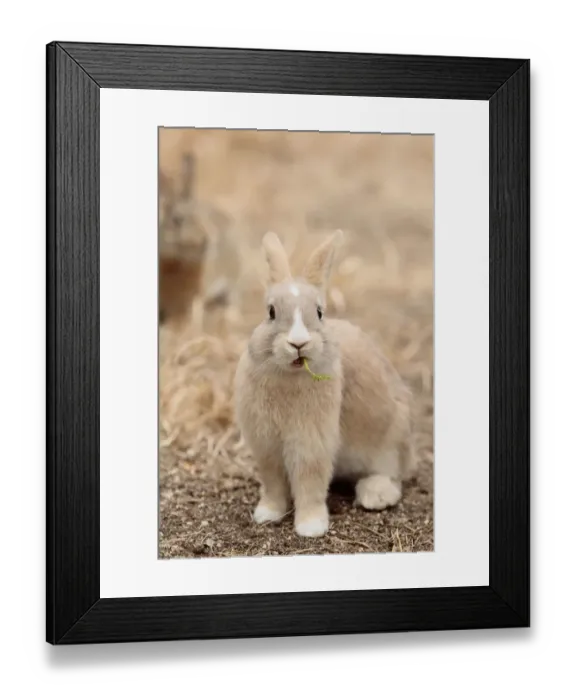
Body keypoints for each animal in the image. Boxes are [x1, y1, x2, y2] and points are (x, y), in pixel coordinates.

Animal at [234, 230, 417, 538]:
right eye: (270, 312)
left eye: (319, 312)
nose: (298, 343)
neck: (289, 375)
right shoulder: (266, 444)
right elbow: (273, 483)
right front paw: (266, 515)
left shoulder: (312, 441)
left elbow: (310, 481)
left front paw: (311, 527)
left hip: (391, 440)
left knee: (392, 475)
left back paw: (375, 495)